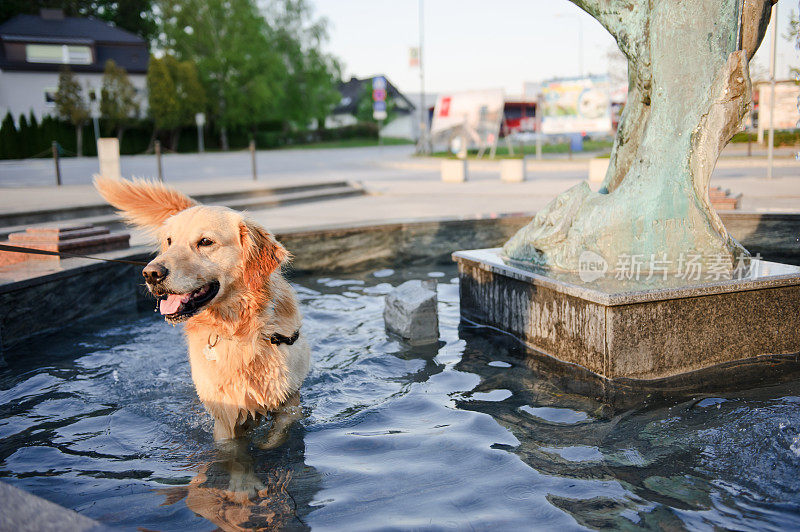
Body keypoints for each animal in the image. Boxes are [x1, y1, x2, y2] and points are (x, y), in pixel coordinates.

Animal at [92, 177, 308, 442]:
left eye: (205, 242)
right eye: (169, 241)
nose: (150, 274)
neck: (240, 330)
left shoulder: (290, 403)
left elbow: (278, 436)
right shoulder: (225, 417)